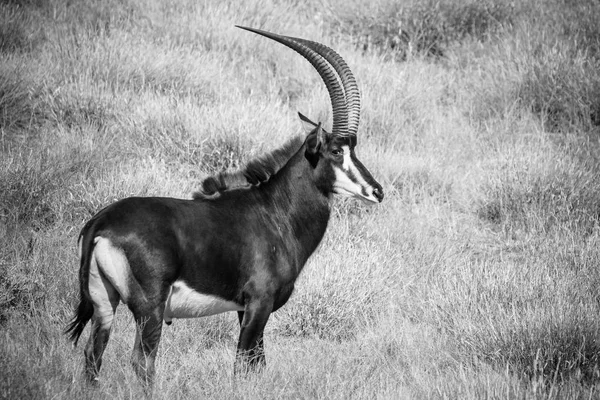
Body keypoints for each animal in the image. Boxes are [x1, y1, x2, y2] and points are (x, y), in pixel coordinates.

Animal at [65, 24, 384, 384]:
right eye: (335, 151)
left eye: (353, 148)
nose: (377, 191)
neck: (276, 212)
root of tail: (100, 224)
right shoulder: (258, 304)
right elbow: (242, 365)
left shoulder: (245, 310)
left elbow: (257, 364)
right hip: (150, 308)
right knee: (142, 361)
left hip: (104, 303)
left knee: (93, 356)